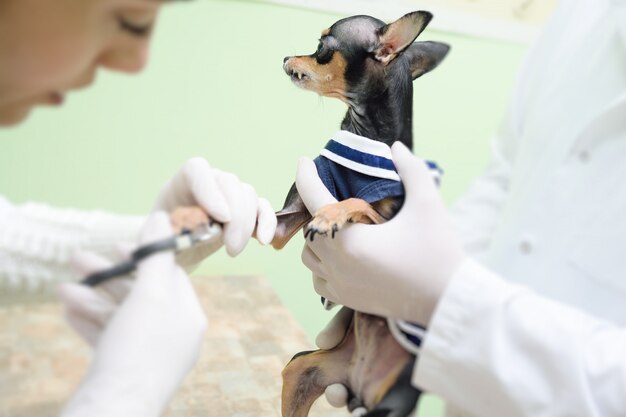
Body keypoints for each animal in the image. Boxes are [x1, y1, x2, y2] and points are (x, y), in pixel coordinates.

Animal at [270, 9, 446, 416]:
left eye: (322, 46)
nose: (285, 57)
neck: (361, 135)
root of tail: (358, 389)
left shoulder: (388, 224)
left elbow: (359, 202)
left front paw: (332, 214)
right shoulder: (290, 216)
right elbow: (268, 221)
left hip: (391, 404)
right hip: (303, 371)